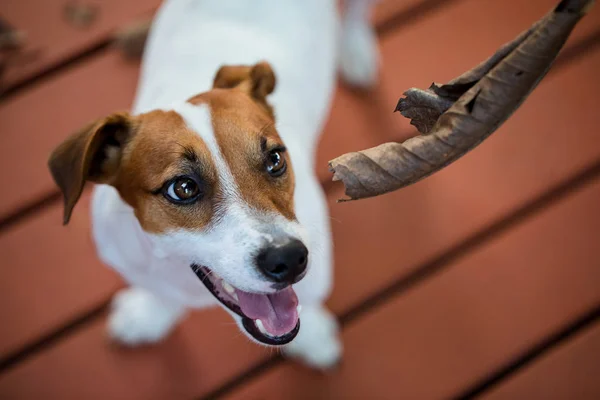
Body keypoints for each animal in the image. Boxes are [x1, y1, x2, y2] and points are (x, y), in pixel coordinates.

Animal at [48, 0, 380, 368]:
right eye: (182, 188)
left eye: (275, 159)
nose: (289, 258)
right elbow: (160, 294)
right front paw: (149, 316)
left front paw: (313, 336)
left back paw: (354, 49)